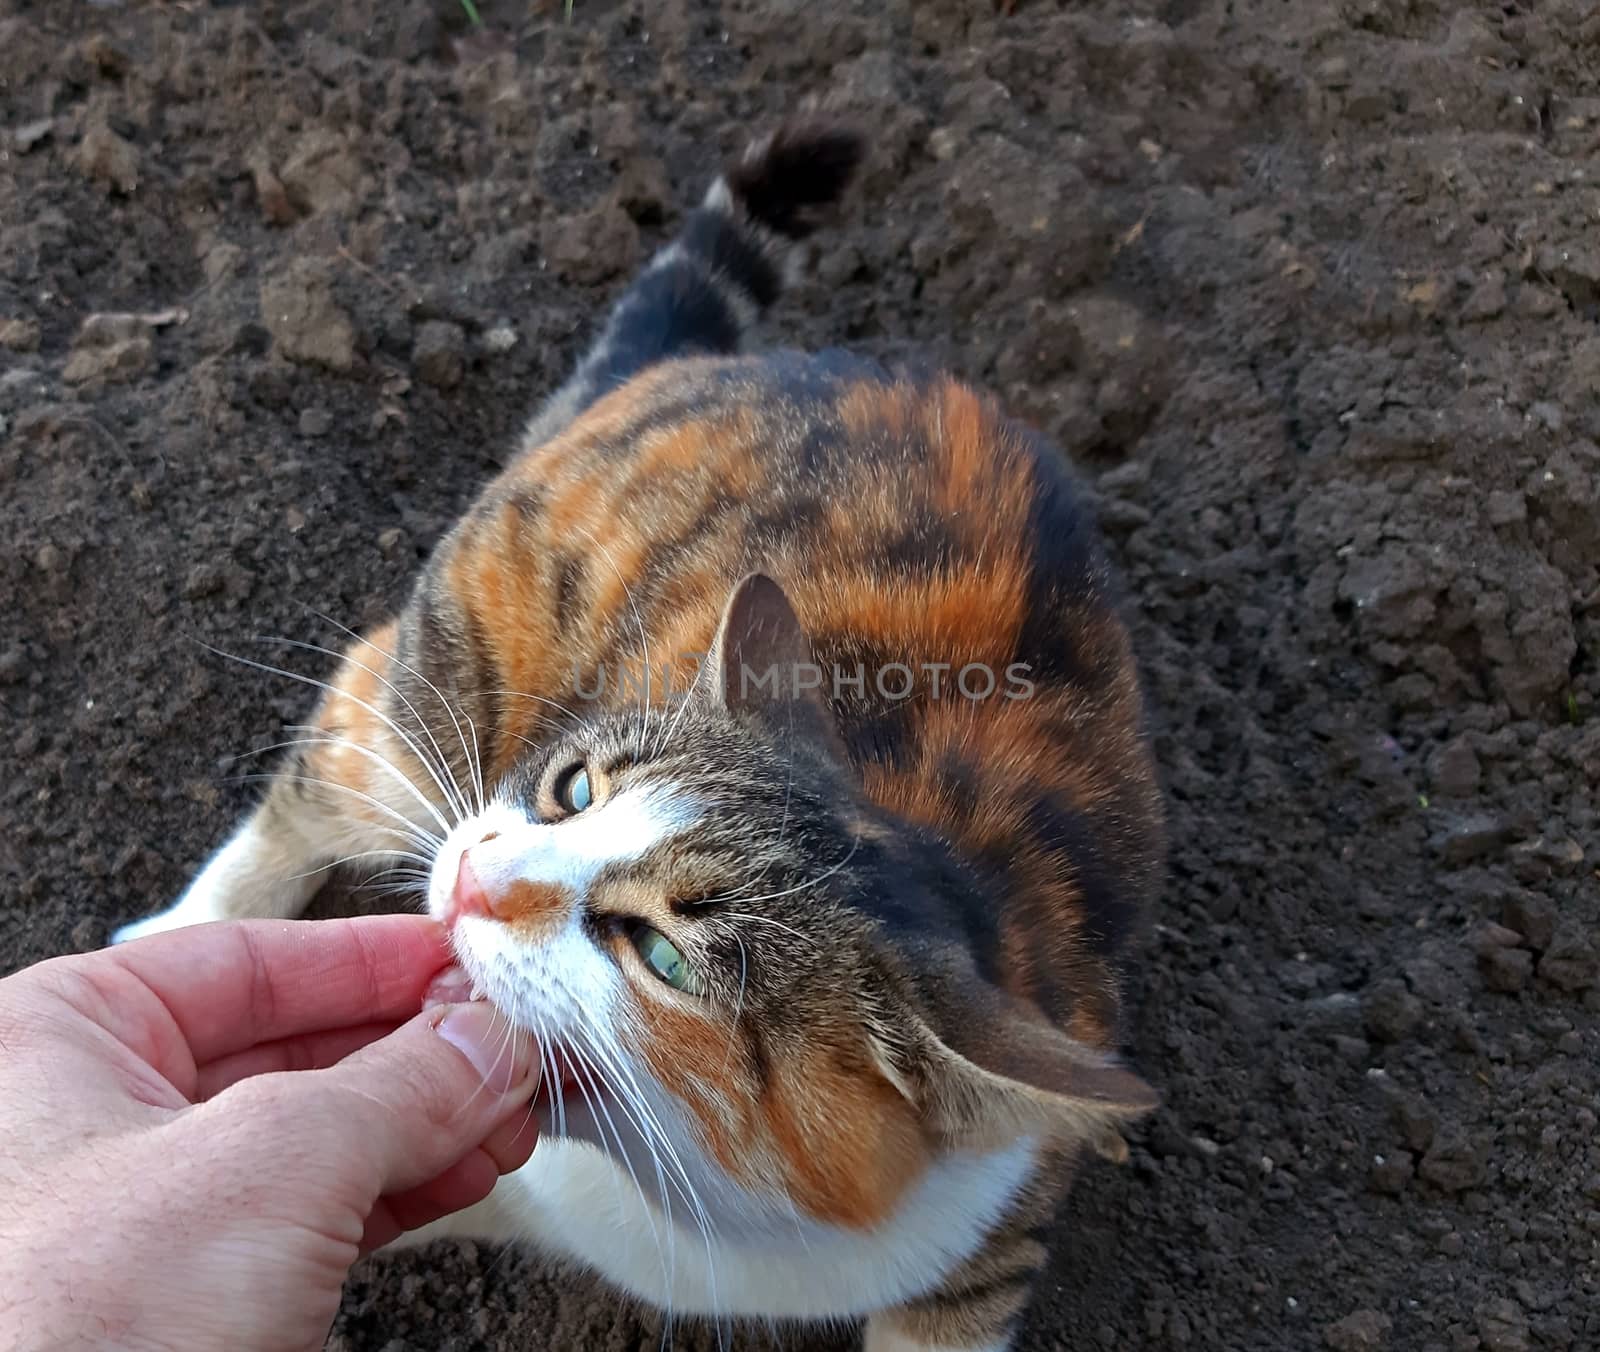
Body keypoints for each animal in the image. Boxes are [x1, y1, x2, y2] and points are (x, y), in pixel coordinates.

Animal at [116, 118, 1164, 1350]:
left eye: (660, 957)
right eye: (573, 790)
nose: (474, 878)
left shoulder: (986, 1235)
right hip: (438, 677)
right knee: (332, 751)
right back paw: (191, 926)